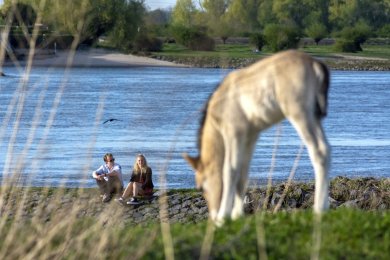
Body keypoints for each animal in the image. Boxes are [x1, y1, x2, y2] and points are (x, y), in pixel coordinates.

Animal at [184, 49, 330, 224]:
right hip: (315, 116)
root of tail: (314, 63)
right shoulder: (250, 137)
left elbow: (230, 170)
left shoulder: (234, 133)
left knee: (318, 151)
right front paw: (236, 215)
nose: (213, 216)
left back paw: (319, 210)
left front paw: (223, 217)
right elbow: (242, 173)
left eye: (200, 186)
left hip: (300, 113)